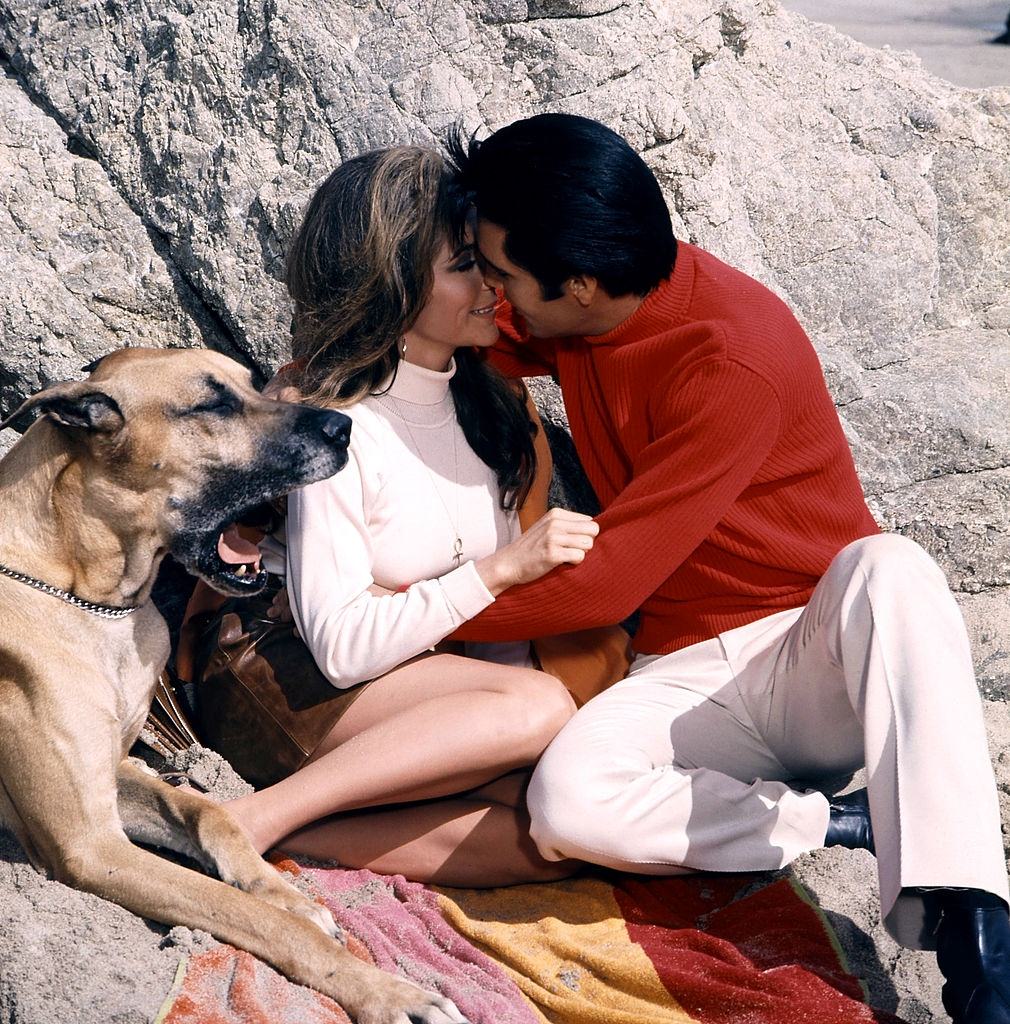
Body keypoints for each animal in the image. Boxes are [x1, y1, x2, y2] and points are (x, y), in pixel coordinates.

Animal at [0, 348, 465, 1024]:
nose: (344, 427)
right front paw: (389, 994)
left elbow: (212, 812)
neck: (87, 594)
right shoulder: (87, 844)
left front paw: (287, 893)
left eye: (253, 383)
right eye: (212, 403)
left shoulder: (117, 770)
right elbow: (251, 917)